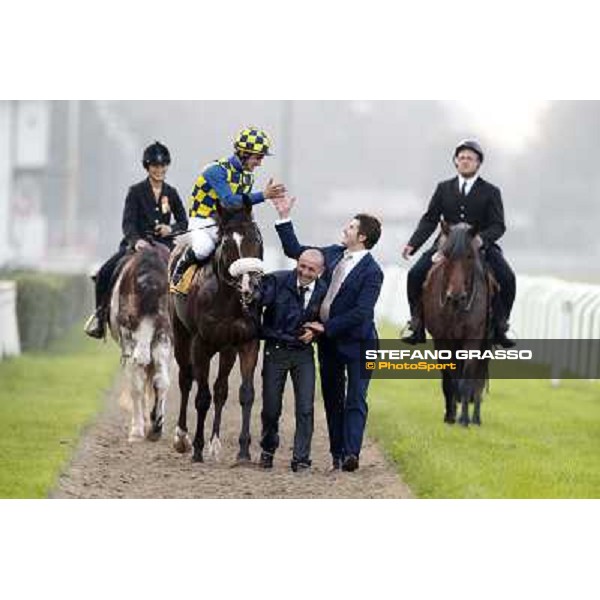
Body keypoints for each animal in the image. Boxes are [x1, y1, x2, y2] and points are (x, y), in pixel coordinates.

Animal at [169, 204, 262, 462]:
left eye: (256, 239)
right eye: (228, 244)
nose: (250, 287)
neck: (228, 299)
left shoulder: (246, 342)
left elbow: (245, 393)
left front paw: (243, 451)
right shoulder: (201, 344)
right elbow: (202, 397)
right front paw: (198, 449)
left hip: (226, 349)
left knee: (221, 389)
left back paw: (215, 443)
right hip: (180, 335)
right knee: (185, 379)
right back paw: (181, 438)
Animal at [420, 221, 494, 426]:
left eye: (469, 256)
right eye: (446, 255)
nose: (456, 296)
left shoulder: (473, 339)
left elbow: (467, 379)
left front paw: (464, 419)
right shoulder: (442, 340)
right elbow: (449, 379)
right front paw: (450, 416)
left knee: (478, 380)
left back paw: (475, 418)